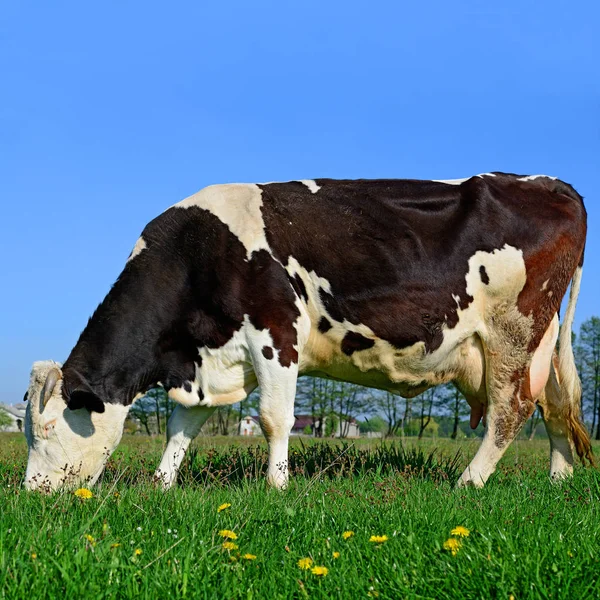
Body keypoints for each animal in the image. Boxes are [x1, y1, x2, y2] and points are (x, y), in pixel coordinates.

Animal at [23, 171, 592, 490]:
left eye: (48, 430)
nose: (32, 494)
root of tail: (551, 183)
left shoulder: (275, 330)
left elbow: (274, 419)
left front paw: (277, 487)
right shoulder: (207, 359)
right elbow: (182, 425)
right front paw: (163, 486)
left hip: (513, 333)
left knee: (511, 410)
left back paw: (468, 483)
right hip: (539, 342)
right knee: (558, 405)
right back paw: (558, 482)